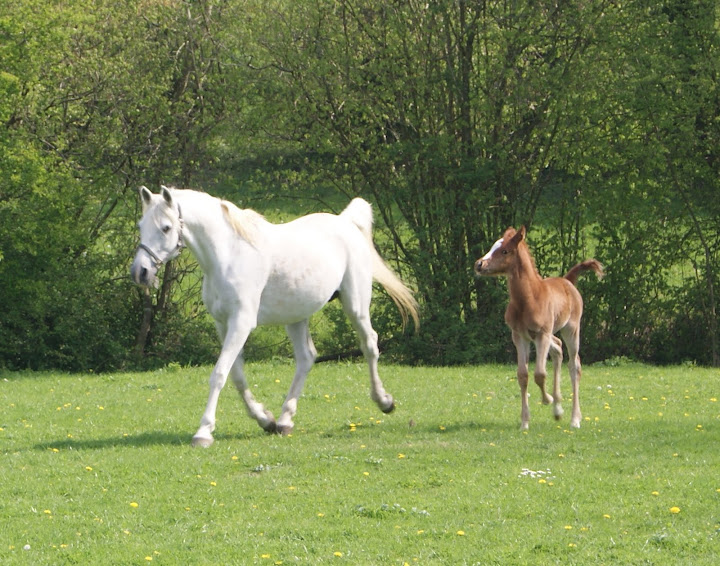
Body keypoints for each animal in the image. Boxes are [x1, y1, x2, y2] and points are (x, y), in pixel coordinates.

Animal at [132, 186, 420, 448]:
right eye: (141, 225)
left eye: (166, 228)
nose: (140, 272)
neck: (229, 256)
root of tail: (346, 222)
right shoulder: (223, 324)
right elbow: (236, 375)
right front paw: (264, 419)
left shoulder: (241, 323)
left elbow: (219, 374)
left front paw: (203, 432)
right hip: (296, 316)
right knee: (306, 358)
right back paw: (284, 420)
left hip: (356, 306)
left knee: (369, 344)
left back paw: (384, 401)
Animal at [476, 227, 604, 430]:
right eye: (492, 247)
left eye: (504, 251)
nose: (479, 264)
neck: (528, 299)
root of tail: (567, 281)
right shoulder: (519, 336)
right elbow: (522, 375)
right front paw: (525, 422)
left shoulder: (542, 334)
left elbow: (540, 374)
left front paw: (547, 400)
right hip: (547, 335)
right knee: (558, 348)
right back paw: (558, 410)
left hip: (571, 329)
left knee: (574, 365)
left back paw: (574, 419)